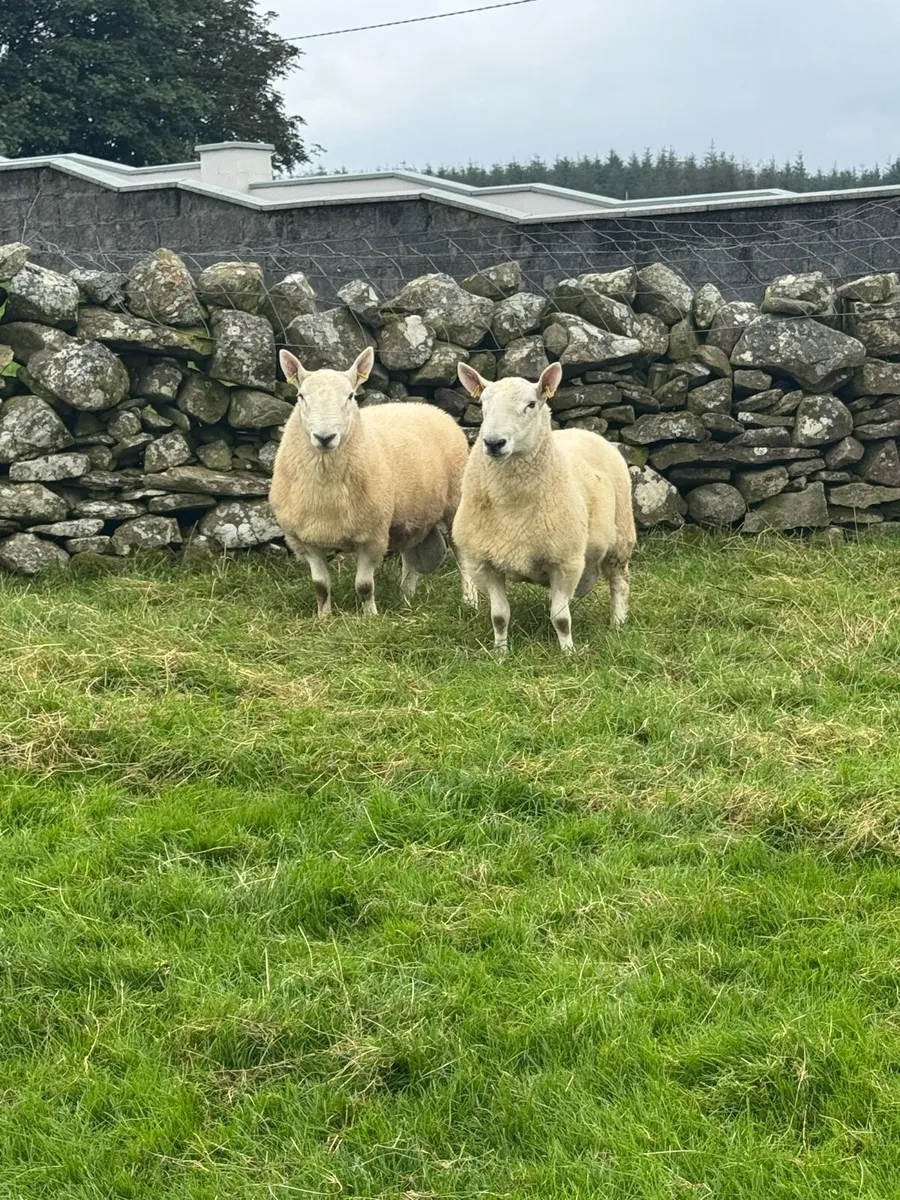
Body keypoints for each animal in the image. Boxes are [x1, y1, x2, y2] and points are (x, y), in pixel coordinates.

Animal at [270, 346, 476, 615]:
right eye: (301, 396)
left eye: (350, 396)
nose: (325, 437)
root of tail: (429, 408)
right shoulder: (307, 540)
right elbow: (321, 586)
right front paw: (323, 617)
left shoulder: (373, 536)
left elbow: (364, 586)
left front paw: (370, 617)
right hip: (412, 515)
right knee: (411, 558)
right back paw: (406, 599)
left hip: (455, 502)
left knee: (463, 556)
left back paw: (470, 601)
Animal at [453, 360, 636, 652]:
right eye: (482, 404)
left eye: (531, 404)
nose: (493, 443)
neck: (512, 505)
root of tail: (583, 430)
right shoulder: (485, 563)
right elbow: (499, 616)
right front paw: (500, 652)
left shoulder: (565, 561)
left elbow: (560, 618)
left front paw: (568, 653)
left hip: (620, 538)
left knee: (620, 583)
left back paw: (617, 624)